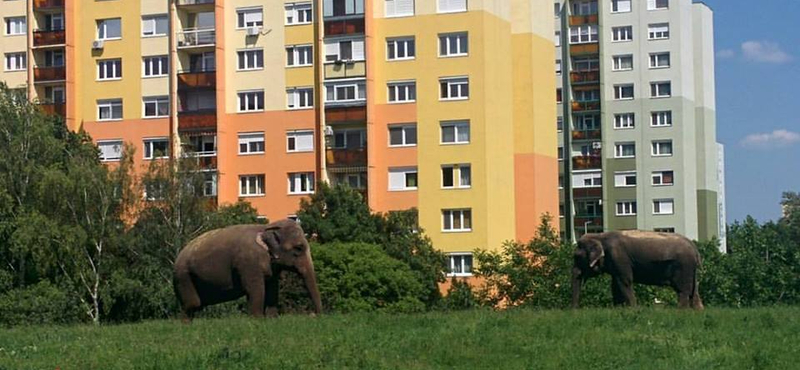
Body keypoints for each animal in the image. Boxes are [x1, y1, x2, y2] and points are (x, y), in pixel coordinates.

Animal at [174, 220, 322, 320]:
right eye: (299, 248)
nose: (313, 315)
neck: (266, 228)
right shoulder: (248, 263)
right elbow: (255, 289)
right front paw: (257, 320)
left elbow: (273, 290)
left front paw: (272, 319)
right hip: (183, 276)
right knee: (192, 304)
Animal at [572, 231, 704, 310]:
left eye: (577, 257)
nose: (574, 310)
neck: (599, 236)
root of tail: (694, 248)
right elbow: (615, 284)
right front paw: (618, 309)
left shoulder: (619, 258)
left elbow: (624, 282)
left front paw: (632, 309)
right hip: (691, 269)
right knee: (694, 290)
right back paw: (697, 310)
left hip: (683, 266)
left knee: (683, 290)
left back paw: (681, 310)